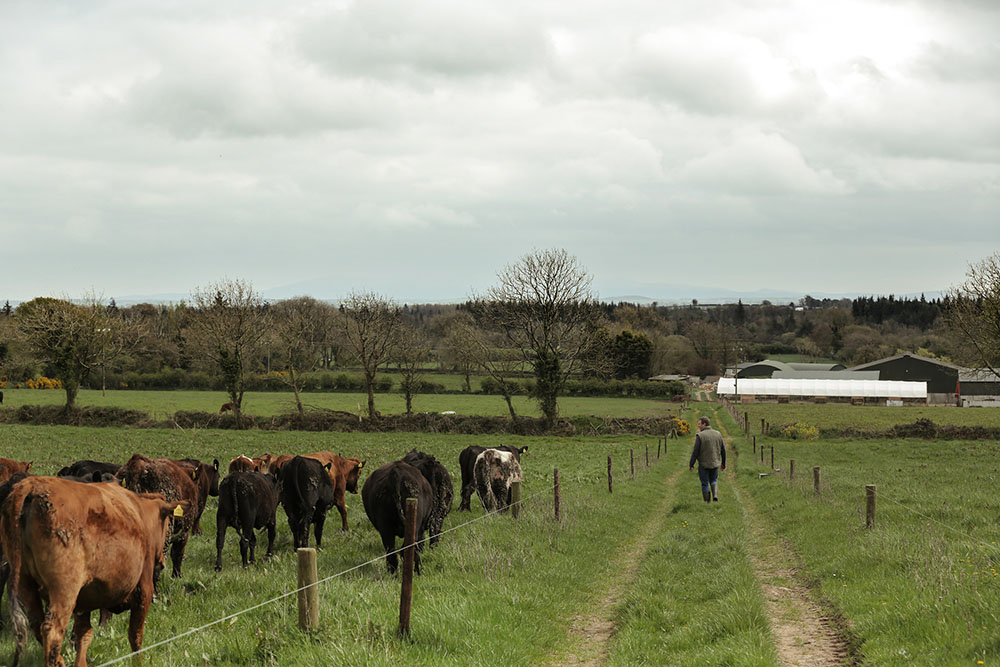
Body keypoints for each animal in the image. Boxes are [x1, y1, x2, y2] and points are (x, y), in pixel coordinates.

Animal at [0, 478, 188, 667]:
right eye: (167, 524)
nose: (162, 562)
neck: (140, 515)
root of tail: (32, 484)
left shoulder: (84, 601)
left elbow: (84, 634)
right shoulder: (144, 591)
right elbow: (136, 636)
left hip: (26, 585)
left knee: (37, 625)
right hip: (64, 590)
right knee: (52, 631)